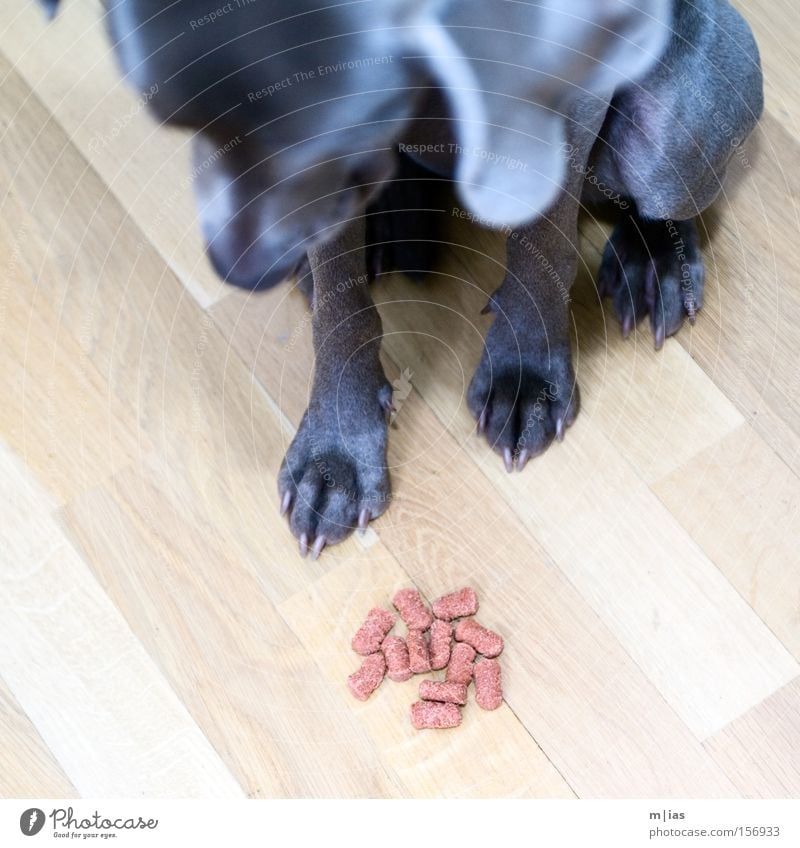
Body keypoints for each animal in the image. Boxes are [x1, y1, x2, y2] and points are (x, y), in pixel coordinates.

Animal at [42, 1, 764, 556]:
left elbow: (543, 244)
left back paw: (656, 261)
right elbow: (341, 311)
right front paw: (335, 456)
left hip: (674, 130)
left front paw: (525, 375)